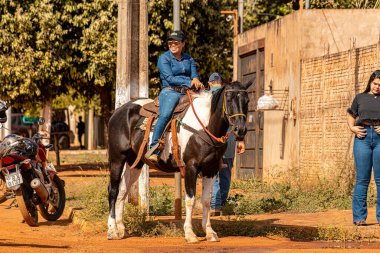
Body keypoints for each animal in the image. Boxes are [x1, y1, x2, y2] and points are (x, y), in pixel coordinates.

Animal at [107, 80, 252, 242]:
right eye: (229, 99)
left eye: (247, 101)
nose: (240, 130)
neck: (204, 125)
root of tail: (118, 111)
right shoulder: (191, 167)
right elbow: (190, 200)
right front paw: (189, 234)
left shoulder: (211, 169)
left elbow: (206, 200)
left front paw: (209, 232)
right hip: (117, 159)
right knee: (113, 191)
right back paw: (112, 230)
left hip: (135, 163)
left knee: (122, 191)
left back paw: (121, 229)